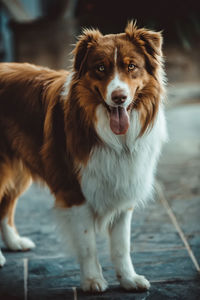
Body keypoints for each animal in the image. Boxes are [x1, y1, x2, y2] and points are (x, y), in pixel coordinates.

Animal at [0, 21, 167, 292]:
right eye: (101, 68)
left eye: (131, 66)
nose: (119, 97)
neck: (115, 139)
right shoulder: (74, 192)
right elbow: (88, 244)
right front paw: (92, 281)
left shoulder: (124, 188)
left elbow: (122, 246)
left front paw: (129, 279)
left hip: (17, 171)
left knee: (5, 205)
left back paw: (14, 242)